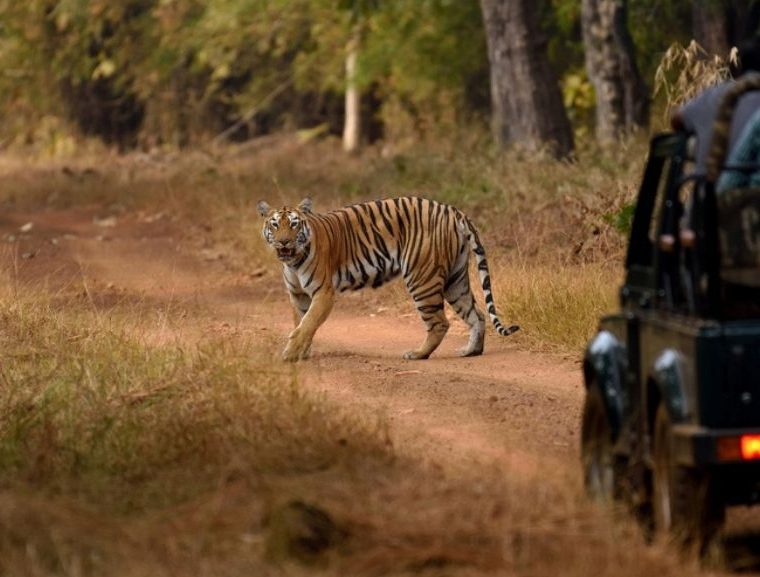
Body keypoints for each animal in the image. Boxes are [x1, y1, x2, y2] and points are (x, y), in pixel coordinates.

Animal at [257, 196, 519, 362]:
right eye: (274, 225)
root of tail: (453, 210)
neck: (292, 262)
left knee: (440, 322)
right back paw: (470, 351)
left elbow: (307, 323)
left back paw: (418, 354)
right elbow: (301, 323)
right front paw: (302, 352)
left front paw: (290, 354)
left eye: (294, 224)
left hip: (421, 278)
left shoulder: (324, 293)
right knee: (477, 314)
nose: (284, 242)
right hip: (456, 280)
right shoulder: (298, 295)